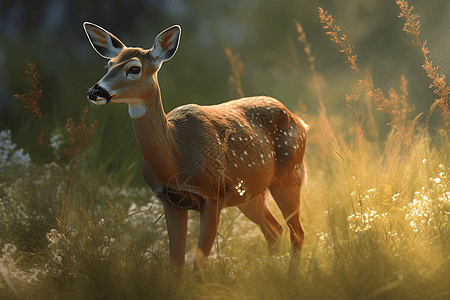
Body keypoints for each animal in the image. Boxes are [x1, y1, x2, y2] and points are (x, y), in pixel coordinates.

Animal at [83, 22, 310, 274]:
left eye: (134, 68)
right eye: (109, 64)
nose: (95, 91)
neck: (175, 158)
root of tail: (300, 121)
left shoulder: (213, 195)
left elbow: (198, 265)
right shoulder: (170, 200)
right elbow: (176, 264)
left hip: (289, 175)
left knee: (297, 232)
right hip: (250, 193)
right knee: (274, 230)